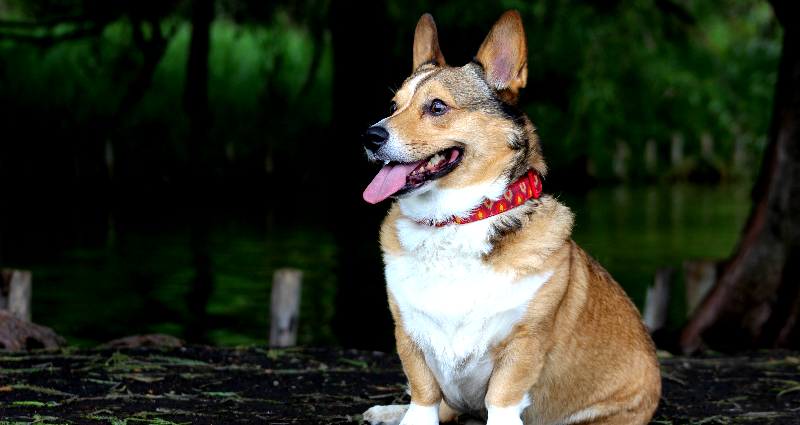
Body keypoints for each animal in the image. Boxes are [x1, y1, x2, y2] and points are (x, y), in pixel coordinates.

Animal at [360, 10, 660, 424]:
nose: (369, 136)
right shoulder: (408, 334)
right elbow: (423, 394)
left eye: (437, 107)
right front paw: (408, 416)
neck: (456, 221)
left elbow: (501, 399)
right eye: (392, 106)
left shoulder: (523, 343)